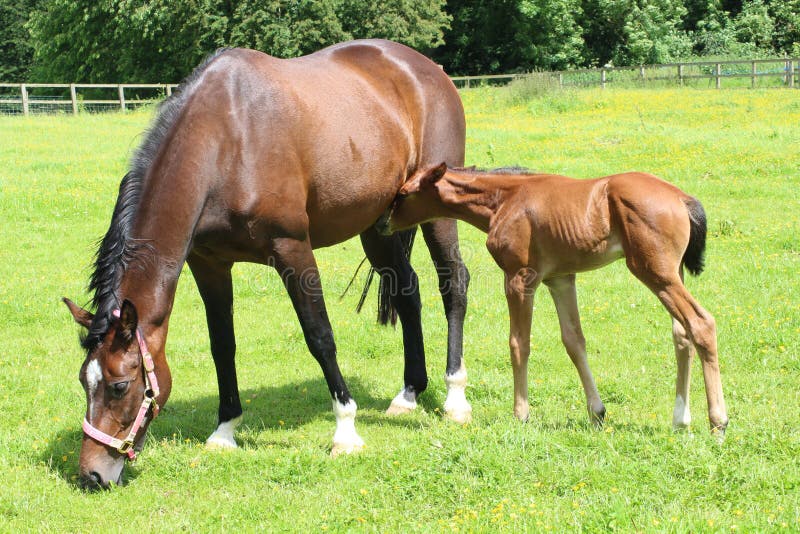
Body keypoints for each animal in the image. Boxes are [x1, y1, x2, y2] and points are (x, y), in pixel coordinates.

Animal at [67, 40, 476, 494]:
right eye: (84, 382)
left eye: (119, 386)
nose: (92, 475)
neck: (226, 140)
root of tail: (427, 69)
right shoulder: (209, 263)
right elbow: (222, 346)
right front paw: (225, 430)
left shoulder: (292, 250)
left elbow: (320, 337)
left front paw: (346, 431)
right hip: (377, 226)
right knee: (408, 293)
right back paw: (408, 394)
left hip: (436, 211)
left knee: (453, 284)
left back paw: (455, 397)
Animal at [382, 164, 732, 440]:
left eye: (405, 193)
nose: (383, 223)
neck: (504, 201)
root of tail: (682, 198)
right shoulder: (561, 279)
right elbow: (574, 341)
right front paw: (597, 412)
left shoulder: (520, 278)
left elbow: (519, 343)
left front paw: (521, 413)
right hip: (672, 273)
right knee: (681, 335)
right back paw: (680, 419)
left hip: (655, 272)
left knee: (701, 323)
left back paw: (718, 422)